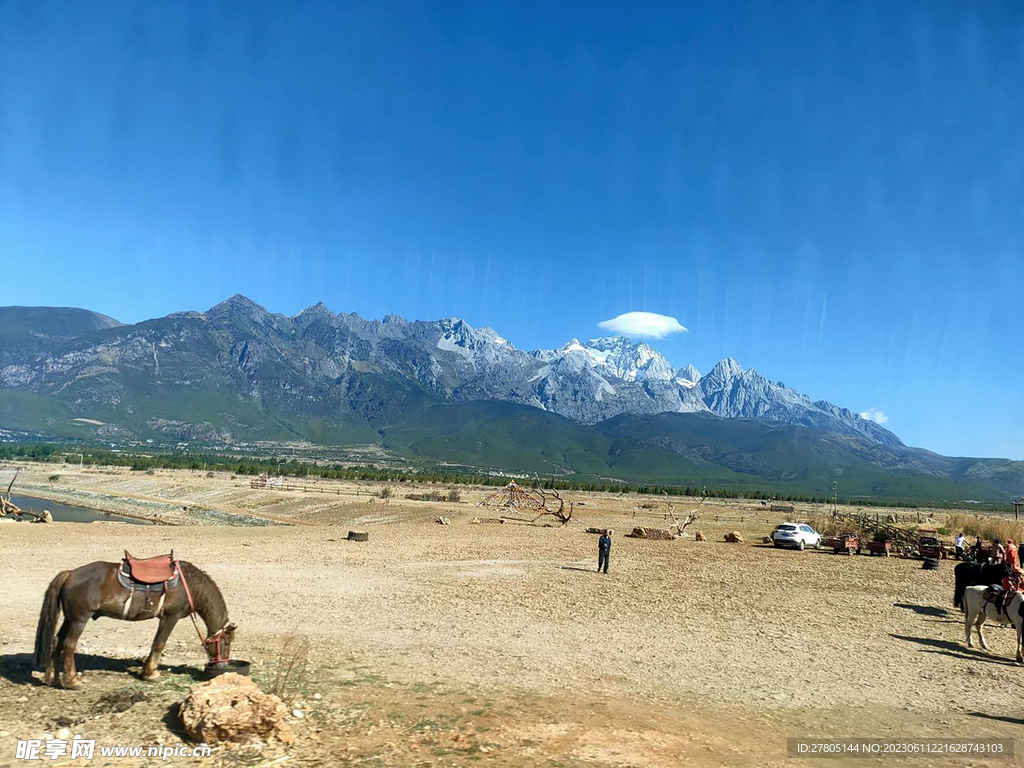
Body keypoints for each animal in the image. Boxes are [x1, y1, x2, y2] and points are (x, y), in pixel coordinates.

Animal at [32, 561, 235, 692]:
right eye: (226, 642)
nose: (222, 665)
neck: (190, 585)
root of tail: (70, 574)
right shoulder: (171, 616)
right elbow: (159, 643)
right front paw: (151, 674)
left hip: (69, 618)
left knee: (57, 640)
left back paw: (50, 677)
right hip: (79, 619)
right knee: (69, 644)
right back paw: (72, 681)